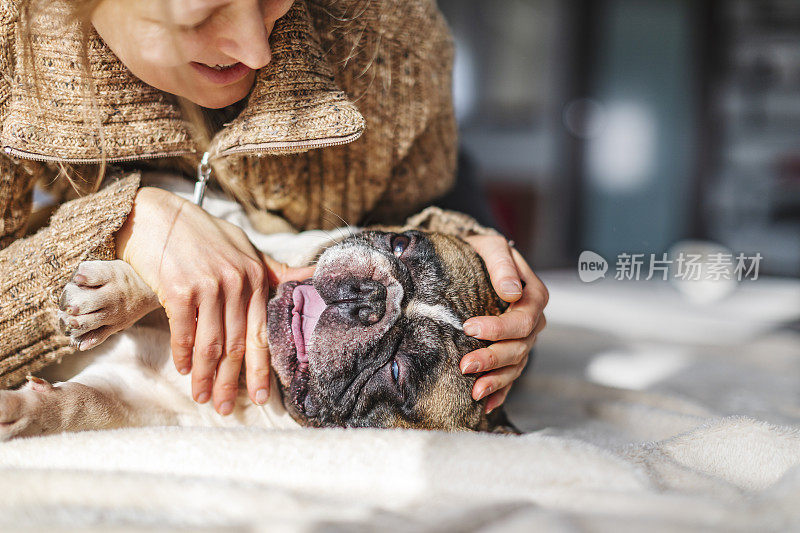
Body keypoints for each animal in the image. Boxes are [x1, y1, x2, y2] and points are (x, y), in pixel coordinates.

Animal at [0, 225, 520, 440]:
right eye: (400, 243)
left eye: (396, 372)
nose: (369, 299)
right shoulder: (247, 269)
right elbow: (196, 274)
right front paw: (113, 292)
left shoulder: (138, 403)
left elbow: (86, 406)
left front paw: (19, 413)